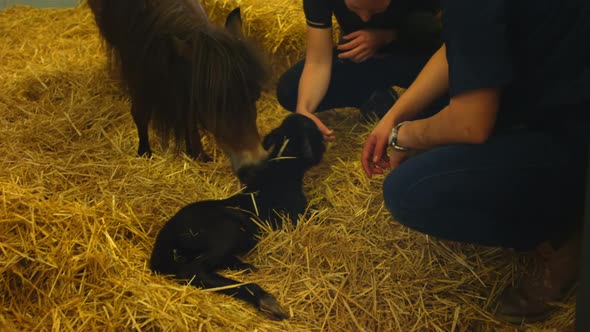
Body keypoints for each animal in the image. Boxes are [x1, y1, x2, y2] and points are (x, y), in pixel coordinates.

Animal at [87, 0, 270, 182]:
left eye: (256, 95)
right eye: (212, 105)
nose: (255, 167)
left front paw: (198, 154)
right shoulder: (138, 75)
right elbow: (140, 115)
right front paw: (144, 153)